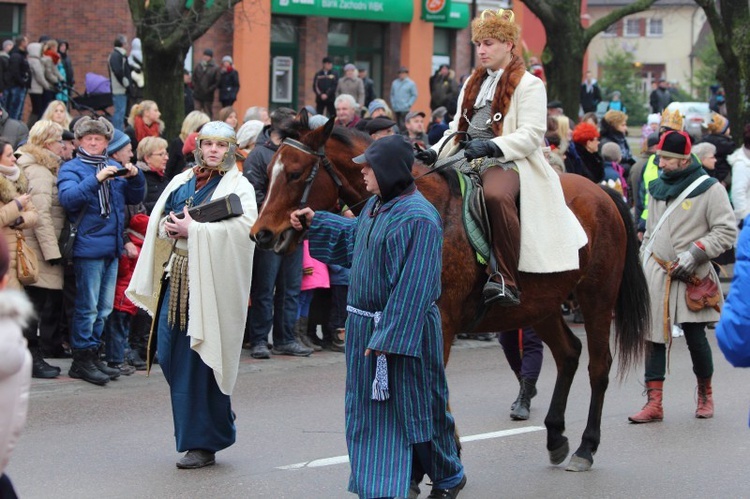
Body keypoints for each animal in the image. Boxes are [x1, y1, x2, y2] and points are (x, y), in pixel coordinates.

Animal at [251, 112, 652, 472]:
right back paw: (555, 436)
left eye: (295, 173)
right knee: (568, 355)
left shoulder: (436, 323)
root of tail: (602, 192)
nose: (262, 233)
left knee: (598, 367)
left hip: (597, 298)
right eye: (269, 171)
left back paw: (586, 447)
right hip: (543, 305)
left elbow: (431, 386)